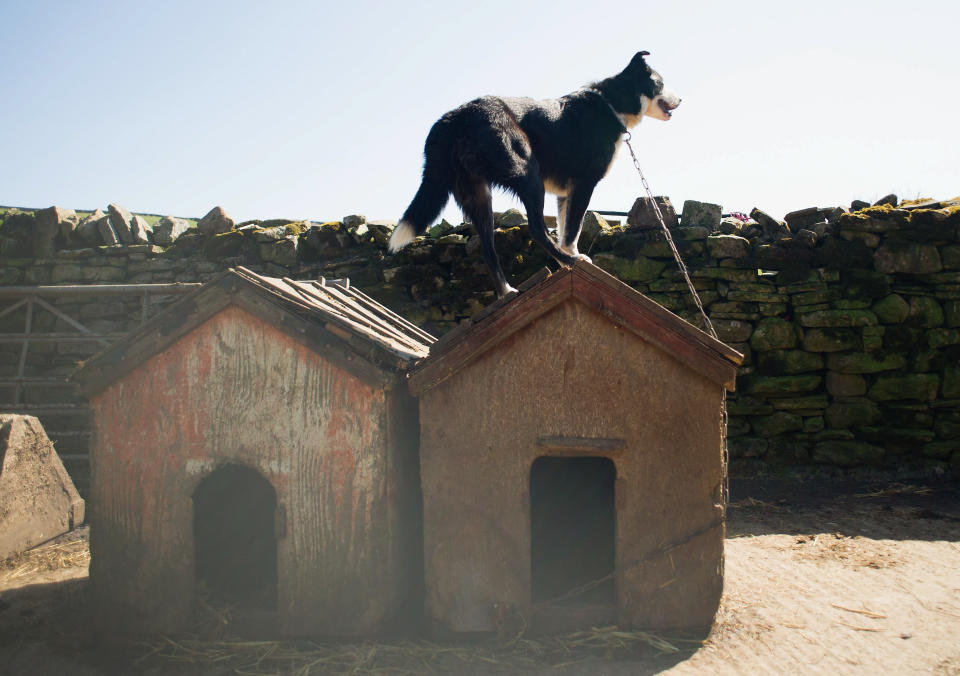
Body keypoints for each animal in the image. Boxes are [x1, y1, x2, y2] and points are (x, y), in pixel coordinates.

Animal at [386, 51, 680, 298]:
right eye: (661, 83)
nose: (681, 100)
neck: (611, 103)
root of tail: (455, 117)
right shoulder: (584, 183)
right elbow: (572, 230)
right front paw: (572, 258)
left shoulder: (564, 194)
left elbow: (566, 230)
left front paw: (564, 258)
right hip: (528, 174)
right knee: (537, 229)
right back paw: (570, 262)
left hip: (477, 195)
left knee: (488, 249)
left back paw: (507, 291)